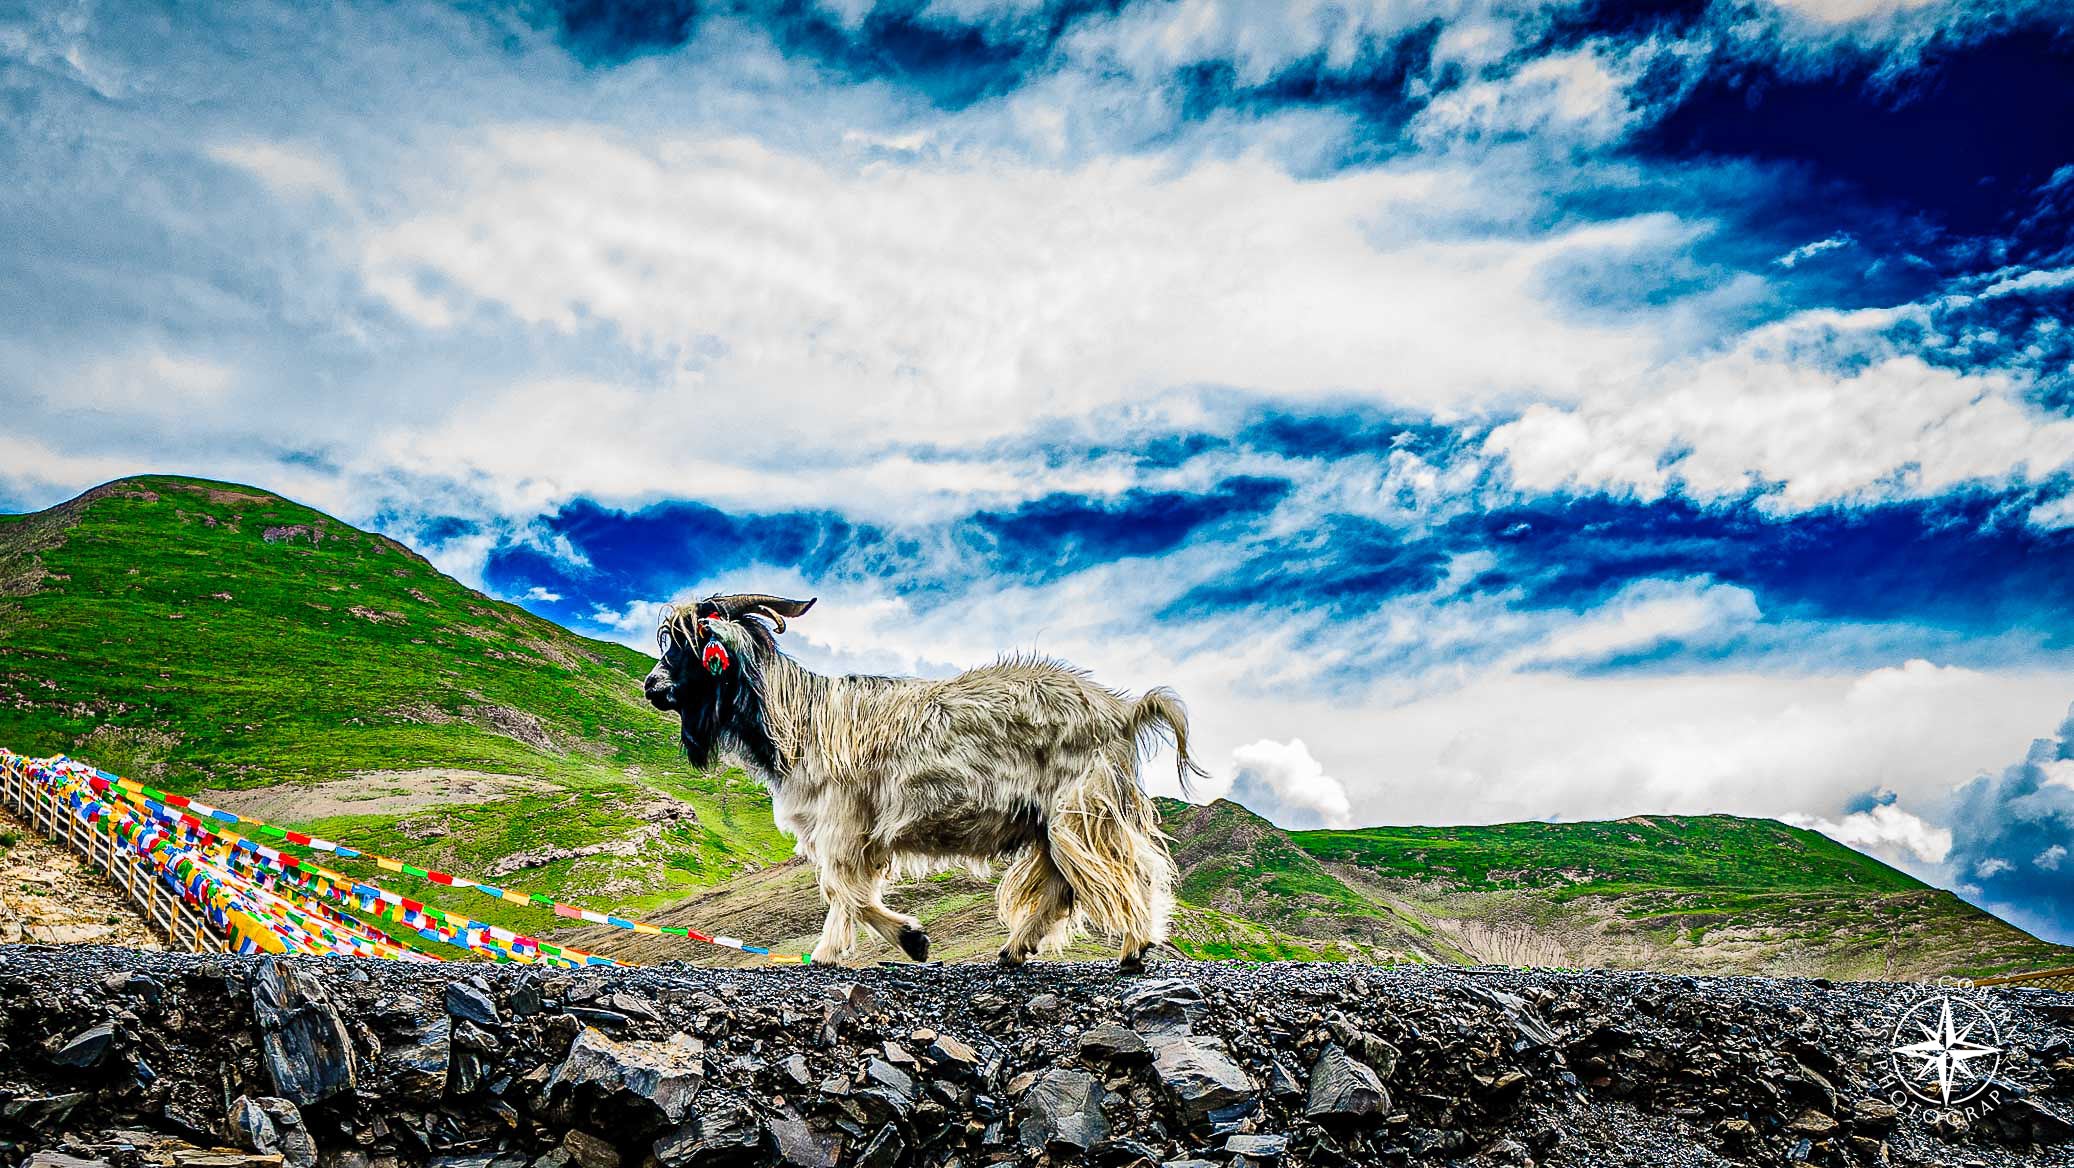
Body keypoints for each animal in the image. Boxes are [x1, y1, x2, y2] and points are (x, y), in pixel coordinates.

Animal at [642, 592, 1199, 970]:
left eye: (691, 644)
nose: (651, 686)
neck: (800, 718)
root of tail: (1123, 710)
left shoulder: (843, 822)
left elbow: (840, 888)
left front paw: (841, 950)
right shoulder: (851, 831)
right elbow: (848, 890)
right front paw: (899, 940)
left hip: (1079, 806)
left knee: (1123, 867)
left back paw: (1135, 945)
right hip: (1050, 822)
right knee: (1062, 884)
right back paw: (1015, 949)